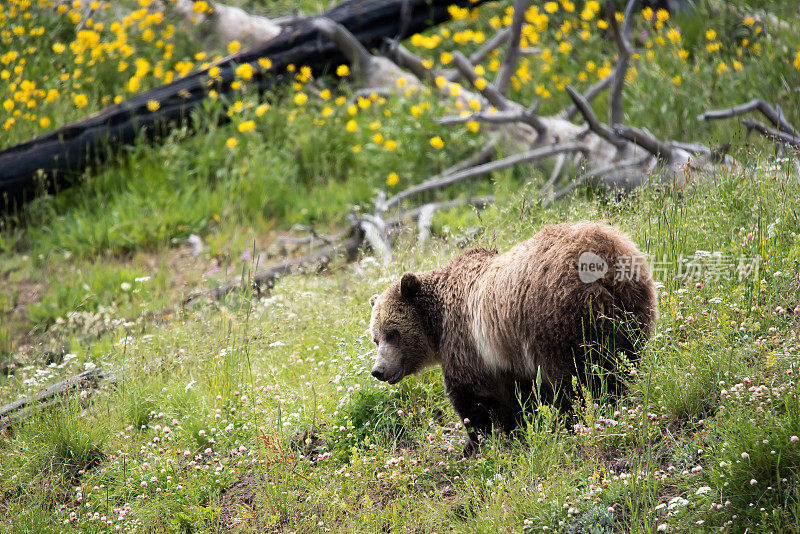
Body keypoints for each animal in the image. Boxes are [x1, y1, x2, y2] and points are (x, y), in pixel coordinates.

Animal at [368, 221, 656, 452]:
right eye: (376, 338)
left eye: (393, 333)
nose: (378, 370)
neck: (438, 326)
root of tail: (605, 252)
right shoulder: (509, 357)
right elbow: (520, 396)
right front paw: (520, 428)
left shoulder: (467, 341)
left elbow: (473, 398)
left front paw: (475, 443)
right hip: (633, 303)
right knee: (623, 358)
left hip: (557, 316)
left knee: (575, 375)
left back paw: (577, 417)